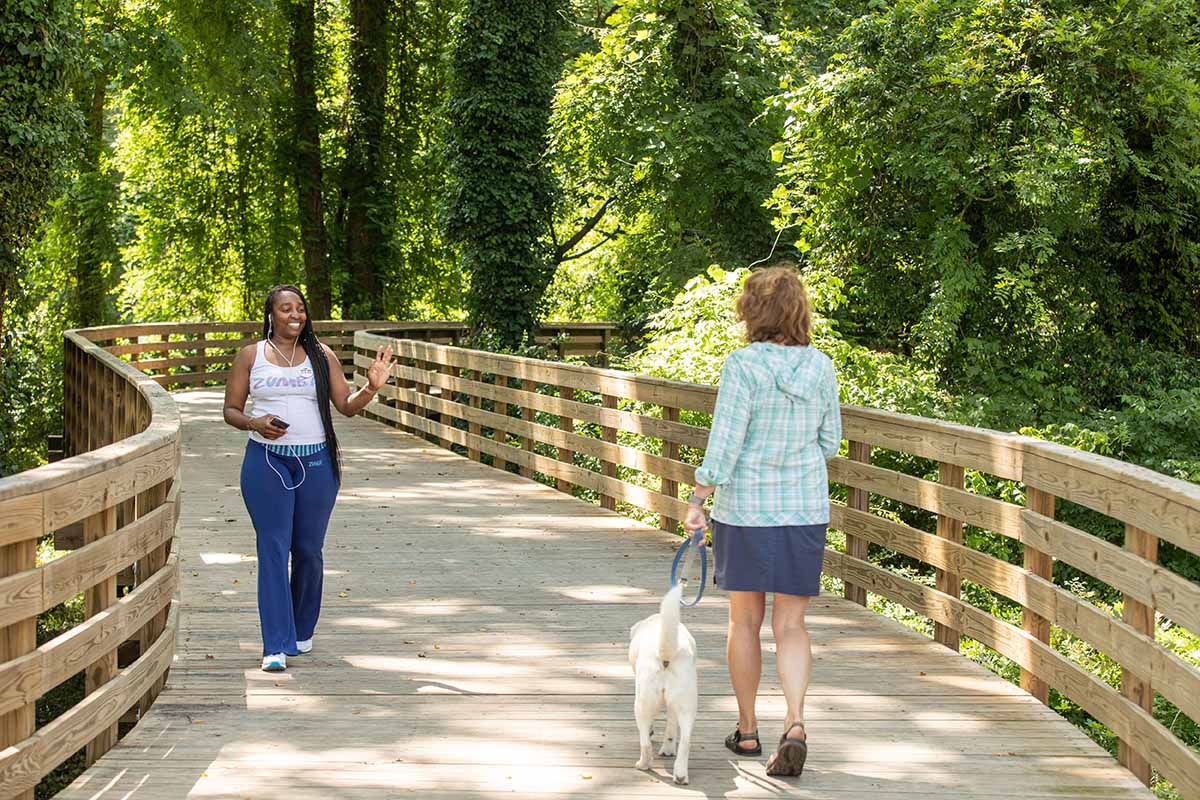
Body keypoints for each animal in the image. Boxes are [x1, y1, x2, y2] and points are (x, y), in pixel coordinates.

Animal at [633, 585, 700, 786]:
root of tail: (666, 655)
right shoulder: (673, 706)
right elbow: (671, 725)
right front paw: (669, 747)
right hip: (687, 705)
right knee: (685, 741)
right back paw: (680, 774)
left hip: (641, 703)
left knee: (645, 741)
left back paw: (643, 764)